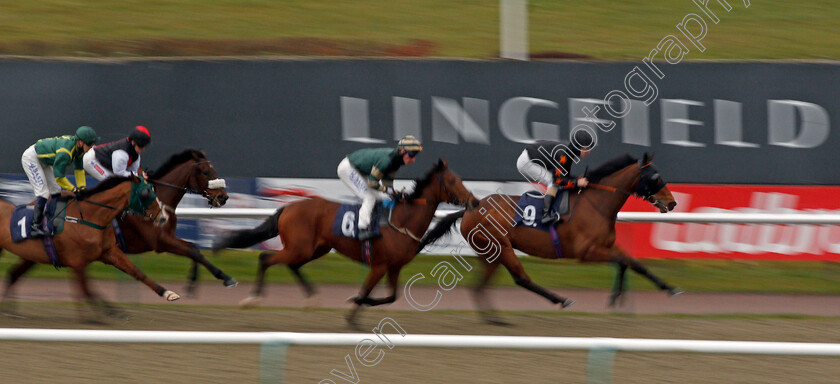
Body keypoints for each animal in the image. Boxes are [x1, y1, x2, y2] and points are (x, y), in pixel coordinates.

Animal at [0, 176, 179, 316]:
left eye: (154, 191)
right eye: (145, 193)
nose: (164, 217)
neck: (89, 217)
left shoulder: (109, 252)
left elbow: (137, 273)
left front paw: (168, 293)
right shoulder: (77, 262)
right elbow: (87, 289)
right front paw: (105, 313)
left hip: (30, 256)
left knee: (13, 274)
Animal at [2, 148, 236, 296]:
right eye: (206, 171)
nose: (223, 197)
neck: (159, 200)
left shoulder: (166, 237)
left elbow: (194, 249)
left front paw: (194, 283)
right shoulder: (160, 241)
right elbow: (194, 250)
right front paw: (225, 278)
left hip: (36, 252)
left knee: (14, 274)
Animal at [213, 159, 480, 324]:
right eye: (453, 181)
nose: (474, 201)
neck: (402, 220)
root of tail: (288, 207)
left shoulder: (394, 266)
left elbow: (391, 297)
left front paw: (359, 303)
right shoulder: (379, 265)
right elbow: (366, 290)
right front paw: (353, 313)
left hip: (314, 249)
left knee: (291, 265)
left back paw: (311, 299)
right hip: (299, 248)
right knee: (266, 258)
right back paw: (252, 299)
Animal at [420, 153, 684, 324]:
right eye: (655, 177)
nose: (672, 202)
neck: (597, 204)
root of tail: (470, 208)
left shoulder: (608, 245)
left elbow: (632, 264)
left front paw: (664, 289)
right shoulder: (587, 252)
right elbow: (626, 262)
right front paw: (618, 299)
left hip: (490, 254)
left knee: (479, 286)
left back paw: (493, 319)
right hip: (501, 247)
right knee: (520, 278)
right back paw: (560, 299)